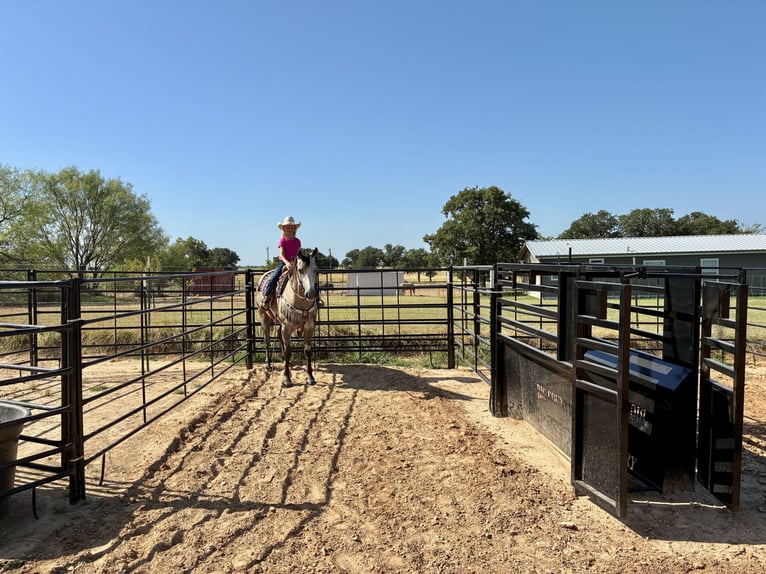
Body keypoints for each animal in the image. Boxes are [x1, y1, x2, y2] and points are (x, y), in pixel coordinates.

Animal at [256, 247, 320, 387]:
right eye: (300, 270)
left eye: (316, 270)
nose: (311, 293)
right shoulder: (287, 327)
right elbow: (288, 351)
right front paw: (286, 378)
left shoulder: (309, 326)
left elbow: (307, 350)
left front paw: (310, 377)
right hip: (263, 316)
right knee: (267, 340)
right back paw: (268, 365)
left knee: (279, 335)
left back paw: (284, 360)